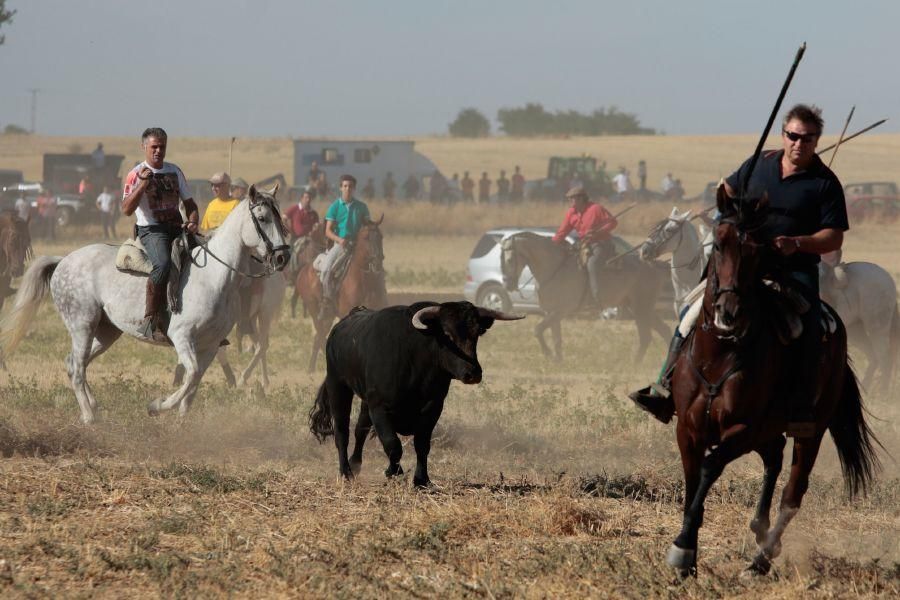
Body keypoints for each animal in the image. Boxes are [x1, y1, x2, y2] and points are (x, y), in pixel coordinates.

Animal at [0, 185, 288, 424]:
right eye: (263, 218)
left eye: (280, 217)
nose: (283, 257)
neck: (214, 276)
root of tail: (62, 261)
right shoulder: (183, 337)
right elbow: (191, 375)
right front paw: (157, 406)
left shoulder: (211, 344)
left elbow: (194, 382)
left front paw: (182, 421)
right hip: (82, 325)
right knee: (78, 368)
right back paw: (89, 417)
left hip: (106, 332)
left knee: (73, 363)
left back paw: (93, 408)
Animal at [296, 219, 386, 370]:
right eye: (366, 237)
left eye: (381, 236)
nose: (377, 261)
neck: (364, 280)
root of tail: (303, 271)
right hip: (314, 309)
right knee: (320, 334)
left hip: (329, 315)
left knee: (319, 335)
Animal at [310, 302, 524, 486]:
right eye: (447, 334)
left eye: (476, 333)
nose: (473, 373)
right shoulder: (379, 407)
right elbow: (392, 443)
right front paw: (393, 471)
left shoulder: (432, 407)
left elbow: (421, 445)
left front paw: (422, 479)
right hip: (338, 386)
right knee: (342, 432)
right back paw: (346, 472)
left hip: (364, 400)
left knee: (360, 429)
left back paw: (355, 464)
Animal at [668, 192, 880, 576]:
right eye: (718, 245)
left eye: (756, 250)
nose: (728, 310)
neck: (720, 353)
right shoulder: (687, 428)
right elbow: (692, 482)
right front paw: (687, 554)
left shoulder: (742, 429)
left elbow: (709, 468)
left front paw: (682, 548)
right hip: (771, 429)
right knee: (775, 457)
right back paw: (759, 530)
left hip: (810, 431)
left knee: (793, 491)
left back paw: (760, 560)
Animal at [820, 258, 896, 394]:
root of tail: (888, 278)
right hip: (855, 330)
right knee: (873, 356)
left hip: (877, 328)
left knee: (884, 358)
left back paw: (883, 393)